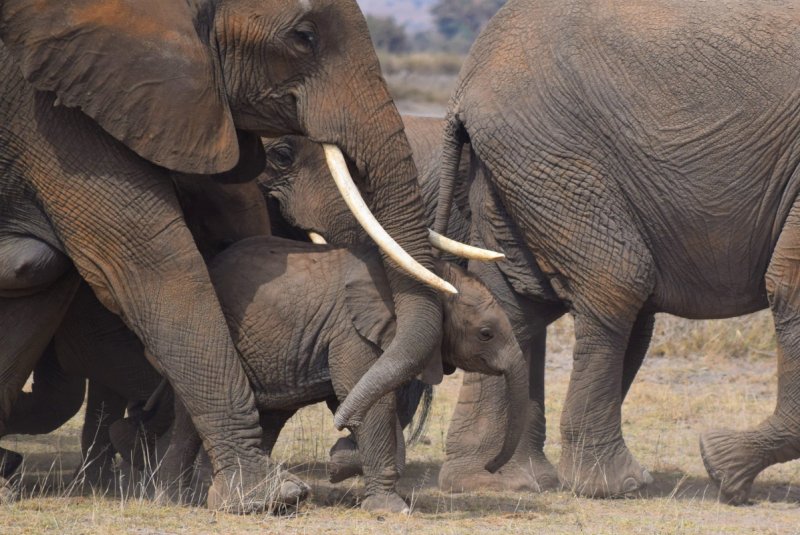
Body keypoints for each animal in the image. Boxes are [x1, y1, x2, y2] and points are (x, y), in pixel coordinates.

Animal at [157, 235, 528, 513]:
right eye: (485, 334)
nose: (492, 468)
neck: (423, 276)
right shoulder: (352, 332)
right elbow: (369, 403)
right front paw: (388, 507)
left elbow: (368, 400)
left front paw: (340, 463)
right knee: (194, 416)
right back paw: (187, 498)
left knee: (267, 417)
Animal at [432, 0, 800, 502]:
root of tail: (465, 85)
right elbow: (793, 287)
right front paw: (724, 469)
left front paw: (727, 467)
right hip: (553, 155)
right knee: (618, 283)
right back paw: (613, 484)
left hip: (511, 168)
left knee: (516, 304)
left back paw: (496, 480)